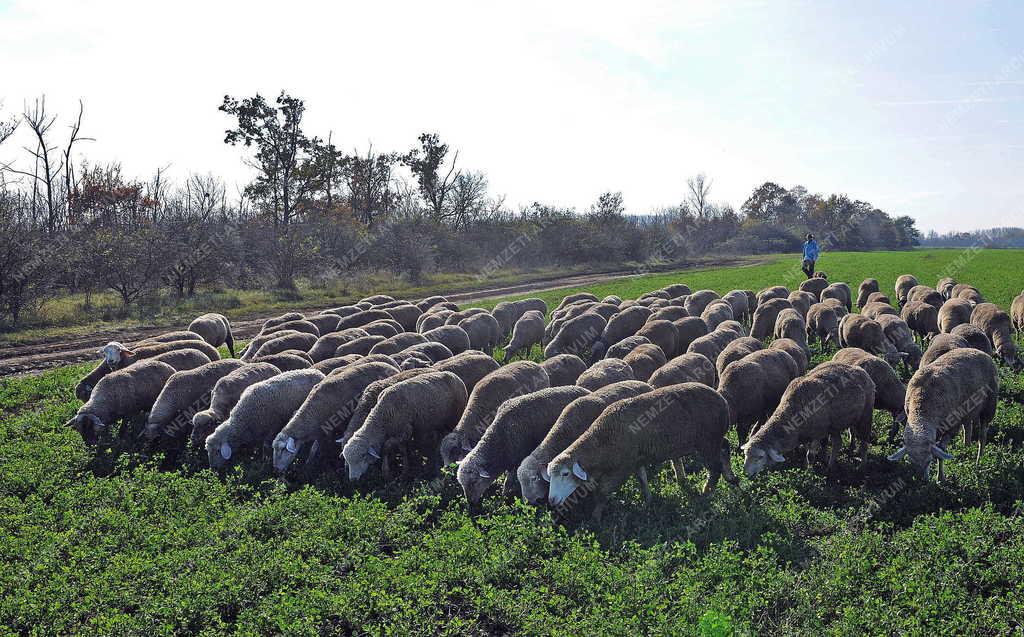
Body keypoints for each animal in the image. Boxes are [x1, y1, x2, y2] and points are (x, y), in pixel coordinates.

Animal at [454, 387, 585, 505]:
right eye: (461, 483)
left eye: (474, 482)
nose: (470, 502)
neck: (500, 442)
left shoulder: (517, 460)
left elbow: (508, 482)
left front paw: (504, 496)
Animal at [552, 380, 737, 522]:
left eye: (565, 474)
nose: (552, 500)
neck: (603, 439)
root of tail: (722, 401)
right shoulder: (636, 459)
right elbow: (642, 479)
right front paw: (648, 501)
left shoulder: (622, 467)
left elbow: (602, 492)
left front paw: (595, 518)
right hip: (715, 437)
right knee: (725, 448)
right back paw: (731, 478)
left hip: (707, 442)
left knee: (715, 469)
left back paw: (705, 494)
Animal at [741, 362, 876, 477]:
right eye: (746, 455)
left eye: (759, 458)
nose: (746, 474)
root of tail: (861, 370)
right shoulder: (806, 433)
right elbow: (807, 451)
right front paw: (806, 466)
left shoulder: (818, 432)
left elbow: (810, 455)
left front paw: (808, 473)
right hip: (836, 424)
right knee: (838, 443)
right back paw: (831, 466)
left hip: (865, 415)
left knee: (864, 443)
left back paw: (862, 467)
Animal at [892, 350, 995, 479]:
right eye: (911, 462)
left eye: (929, 460)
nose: (922, 480)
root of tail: (979, 351)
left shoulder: (952, 426)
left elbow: (941, 451)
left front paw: (940, 477)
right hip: (966, 411)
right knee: (968, 427)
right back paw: (966, 448)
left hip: (989, 406)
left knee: (982, 435)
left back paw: (978, 461)